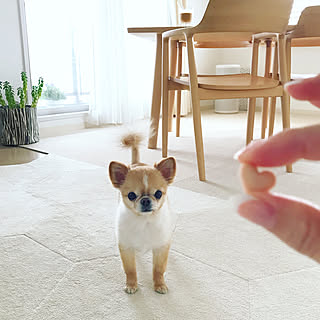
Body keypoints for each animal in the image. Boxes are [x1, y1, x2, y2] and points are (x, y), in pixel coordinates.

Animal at [109, 134, 176, 294]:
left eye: (158, 194)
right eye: (131, 195)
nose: (145, 200)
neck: (144, 222)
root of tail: (137, 163)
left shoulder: (161, 247)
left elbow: (159, 269)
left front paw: (159, 285)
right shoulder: (126, 247)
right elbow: (130, 269)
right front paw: (131, 285)